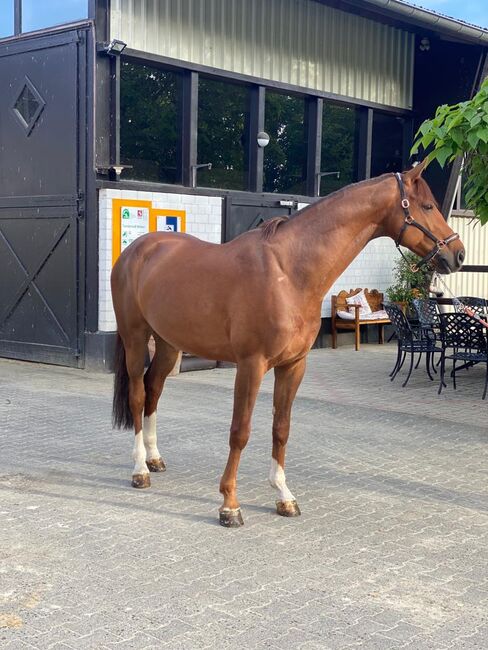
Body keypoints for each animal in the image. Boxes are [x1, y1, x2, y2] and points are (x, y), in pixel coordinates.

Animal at [111, 162, 465, 527]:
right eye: (427, 206)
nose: (458, 254)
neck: (289, 272)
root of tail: (138, 249)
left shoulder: (293, 365)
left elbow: (281, 428)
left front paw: (283, 496)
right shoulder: (251, 365)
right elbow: (240, 431)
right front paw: (229, 504)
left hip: (169, 344)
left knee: (154, 390)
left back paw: (154, 459)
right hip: (135, 338)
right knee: (138, 395)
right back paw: (139, 470)